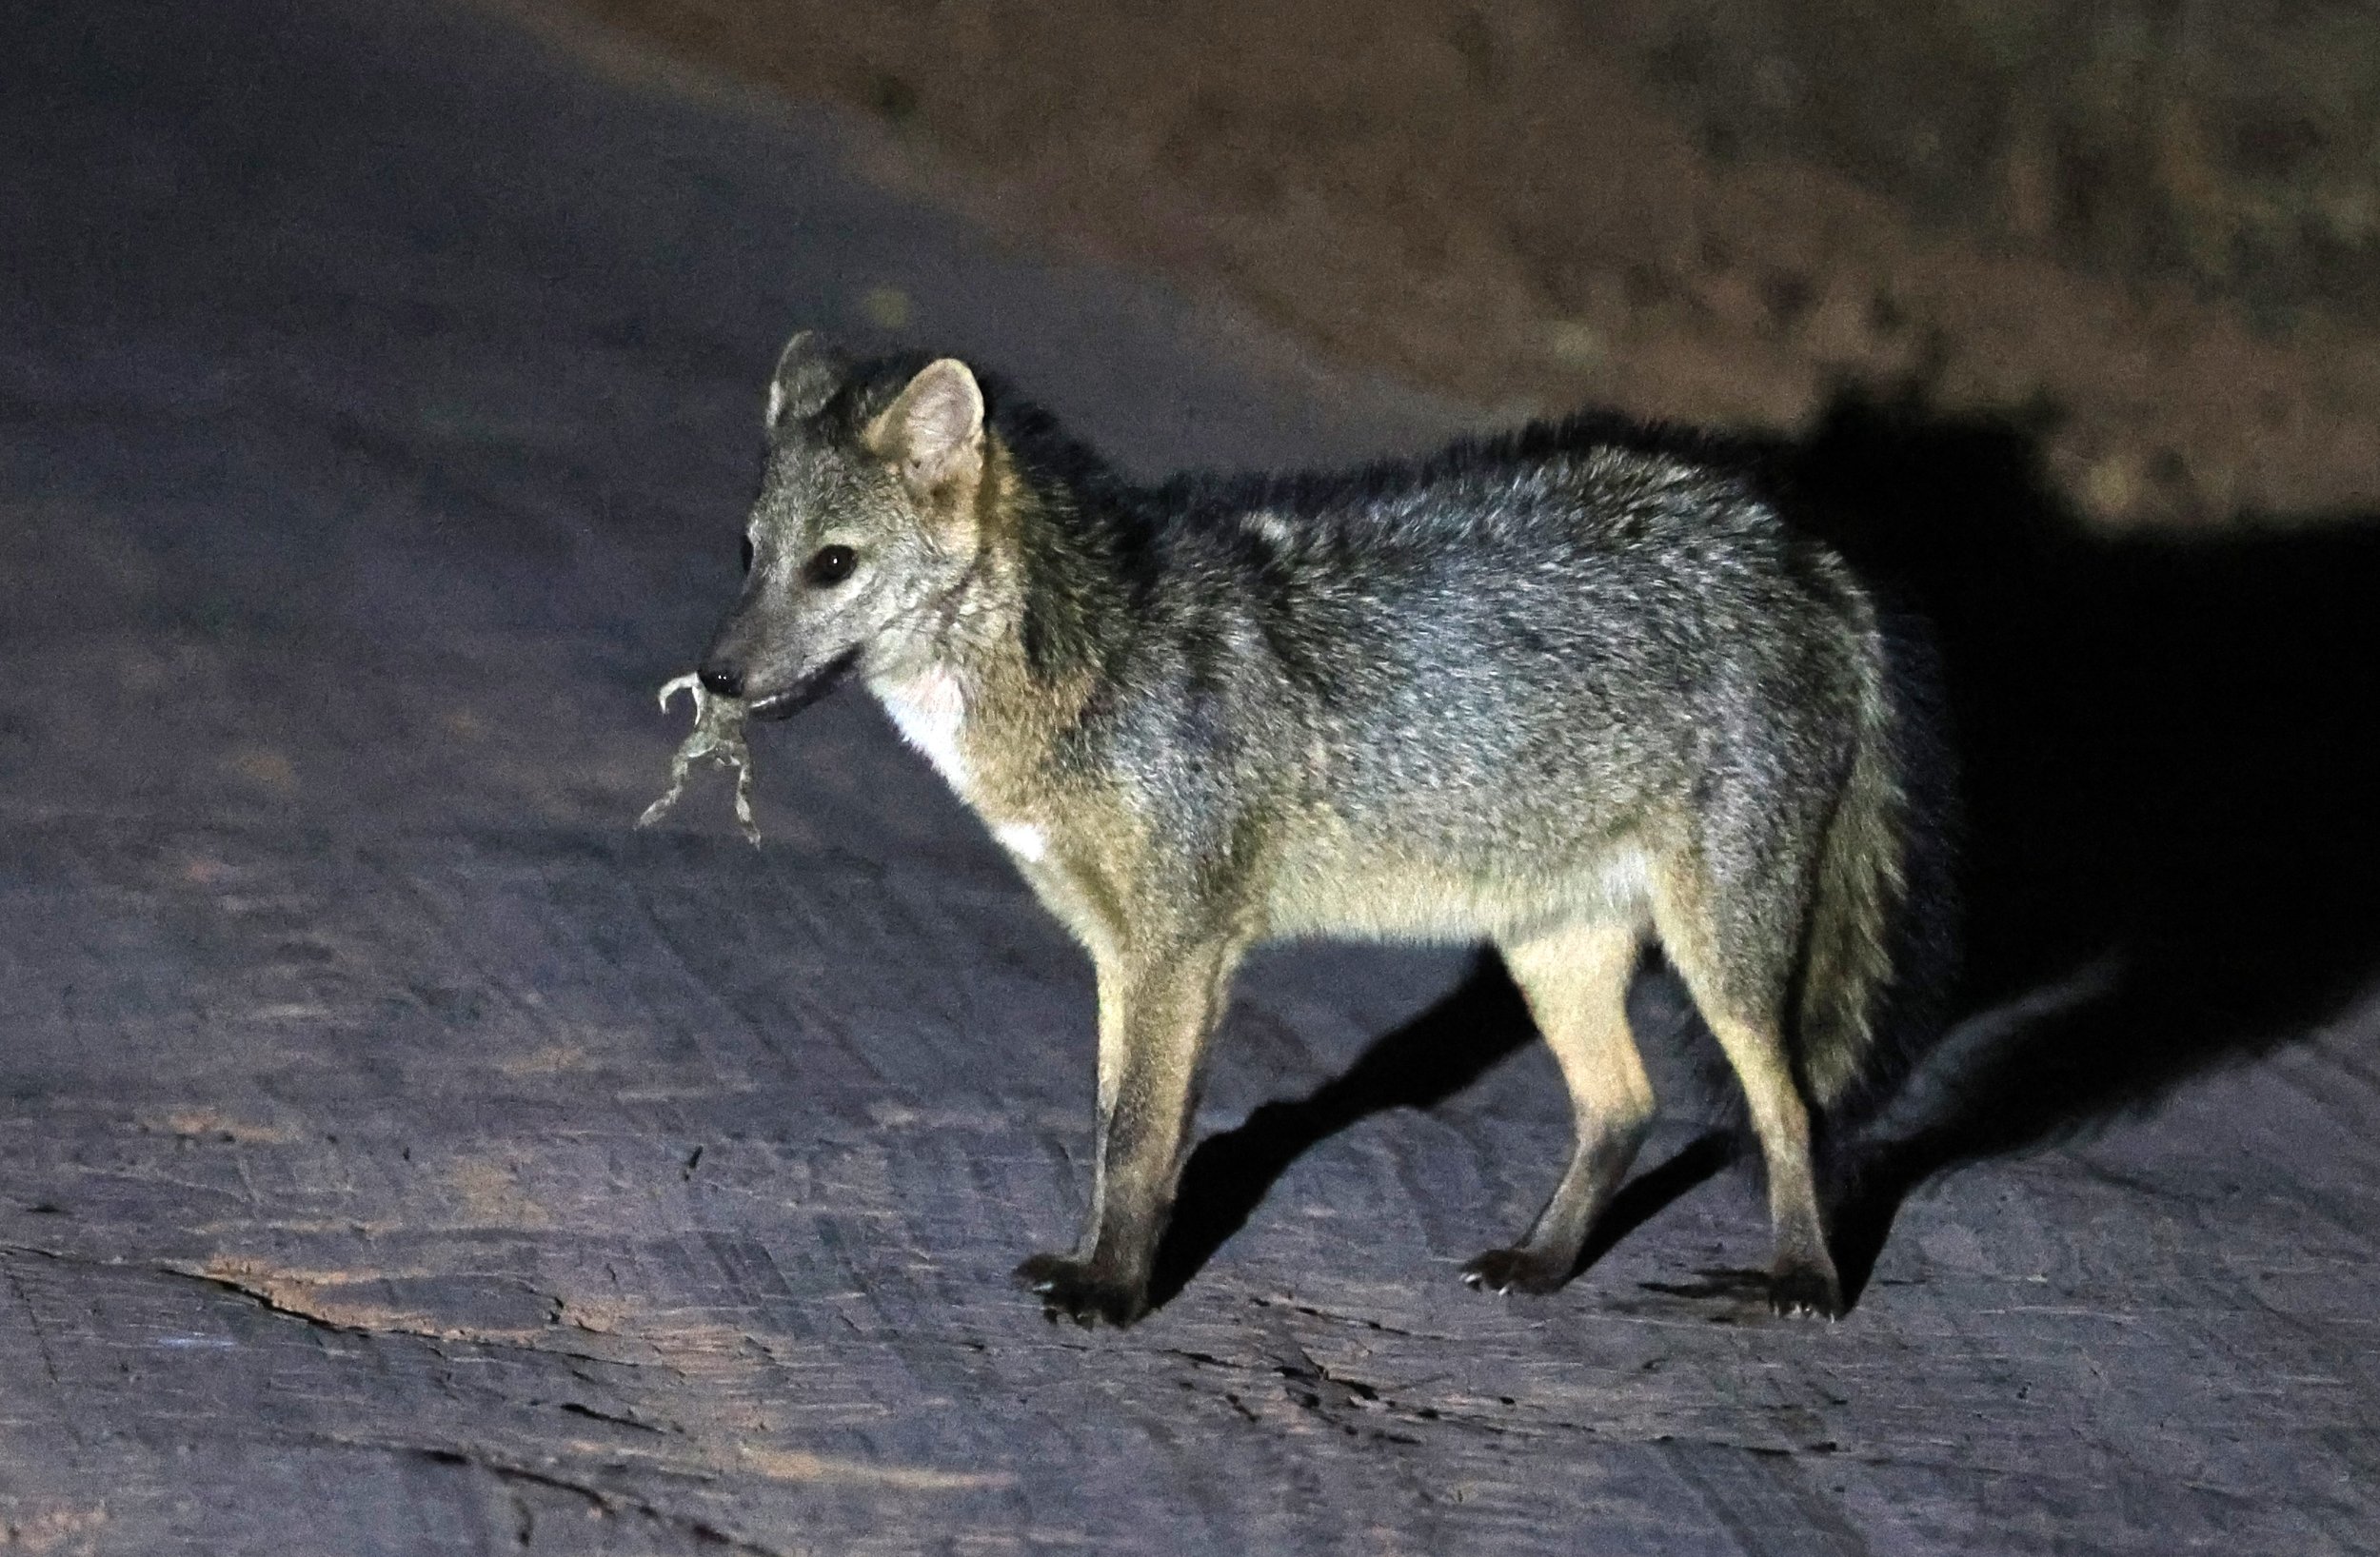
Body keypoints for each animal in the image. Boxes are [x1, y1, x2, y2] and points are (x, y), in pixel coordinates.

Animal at [690, 331, 1949, 1327]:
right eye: (749, 553)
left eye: (833, 565)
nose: (714, 677)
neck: (1091, 664)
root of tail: (1805, 554)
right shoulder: (1120, 953)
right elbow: (1110, 1132)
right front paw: (1098, 1263)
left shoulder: (1181, 950)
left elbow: (1140, 1141)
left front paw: (1113, 1294)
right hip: (1550, 946)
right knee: (1623, 1106)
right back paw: (1540, 1264)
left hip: (1719, 954)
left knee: (1790, 1108)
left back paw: (1802, 1284)